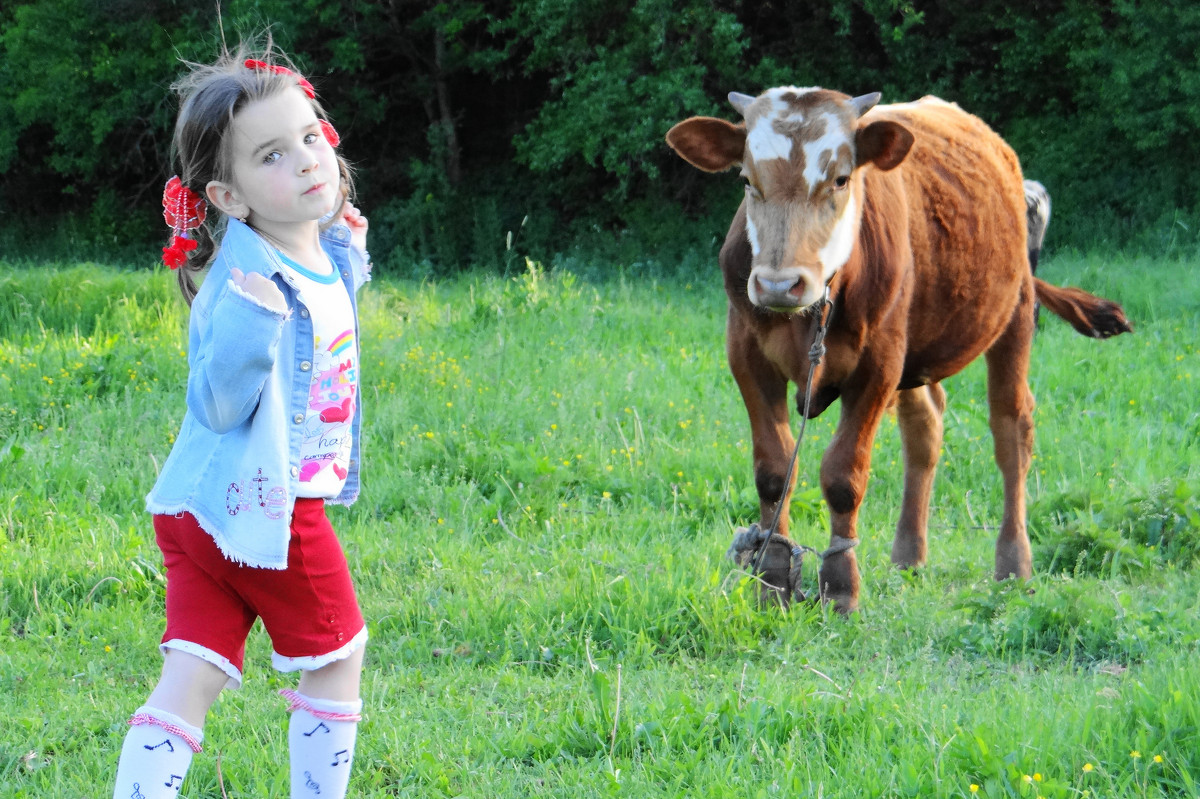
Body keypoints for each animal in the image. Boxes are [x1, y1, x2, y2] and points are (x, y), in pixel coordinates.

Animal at [667, 88, 1132, 609]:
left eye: (841, 178)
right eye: (747, 180)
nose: (779, 284)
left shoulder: (877, 366)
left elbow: (843, 476)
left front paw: (841, 590)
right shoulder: (746, 358)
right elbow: (774, 471)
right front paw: (771, 586)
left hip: (1012, 315)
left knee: (1012, 431)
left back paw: (1013, 565)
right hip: (917, 355)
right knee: (925, 429)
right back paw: (909, 556)